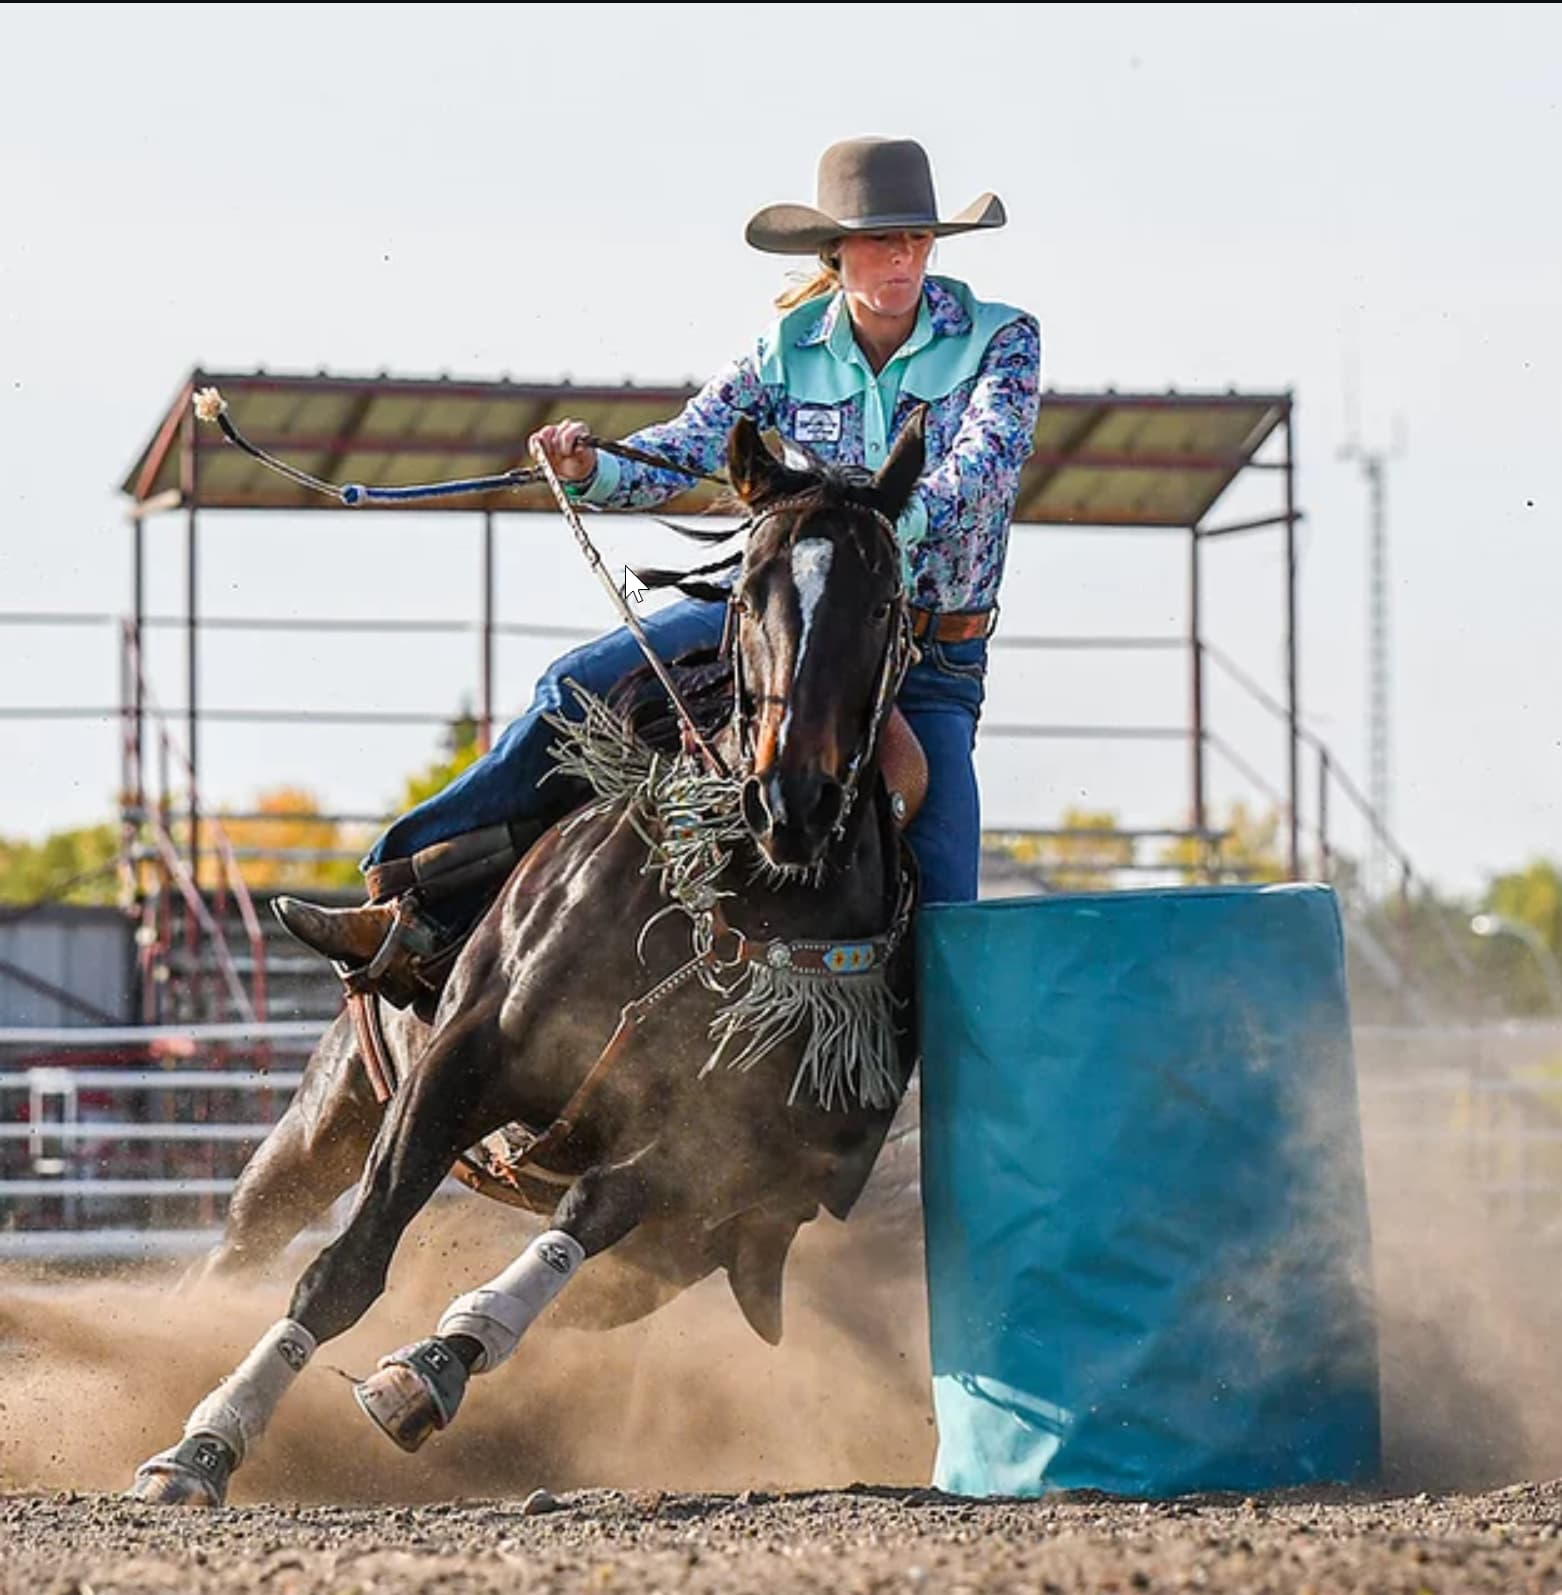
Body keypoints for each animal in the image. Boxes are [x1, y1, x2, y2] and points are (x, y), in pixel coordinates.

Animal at [131, 411, 925, 1505]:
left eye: (884, 597)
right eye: (749, 584)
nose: (791, 800)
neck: (734, 893)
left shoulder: (714, 1159)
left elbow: (591, 1209)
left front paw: (426, 1366)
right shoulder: (461, 1059)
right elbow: (344, 1266)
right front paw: (203, 1445)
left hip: (695, 1245)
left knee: (588, 1284)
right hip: (338, 1098)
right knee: (251, 1232)